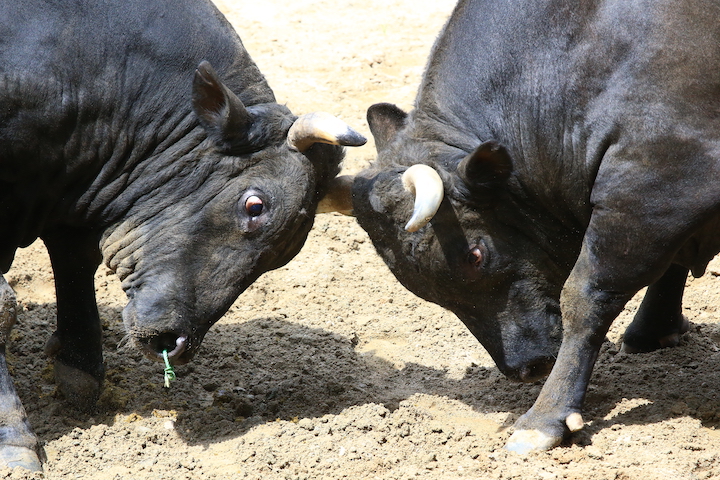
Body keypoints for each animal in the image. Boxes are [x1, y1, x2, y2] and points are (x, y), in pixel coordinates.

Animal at [0, 0, 366, 468]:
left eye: (286, 254)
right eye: (255, 206)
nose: (174, 342)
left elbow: (76, 259)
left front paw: (79, 369)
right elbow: (4, 306)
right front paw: (15, 440)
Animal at [326, 0, 720, 454]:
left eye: (475, 254)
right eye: (424, 289)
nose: (527, 367)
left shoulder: (655, 183)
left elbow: (584, 297)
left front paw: (544, 418)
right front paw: (652, 331)